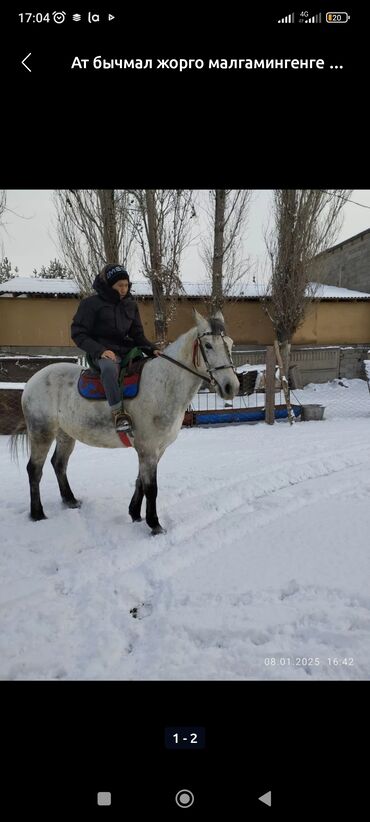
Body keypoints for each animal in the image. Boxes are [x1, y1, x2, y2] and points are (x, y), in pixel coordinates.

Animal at [11, 308, 240, 536]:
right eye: (208, 345)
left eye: (230, 344)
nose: (231, 386)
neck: (163, 384)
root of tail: (32, 381)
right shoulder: (148, 448)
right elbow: (151, 487)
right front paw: (154, 524)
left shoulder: (157, 449)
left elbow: (140, 481)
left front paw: (135, 513)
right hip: (42, 432)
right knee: (34, 469)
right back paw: (37, 513)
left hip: (66, 434)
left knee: (59, 463)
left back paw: (70, 500)